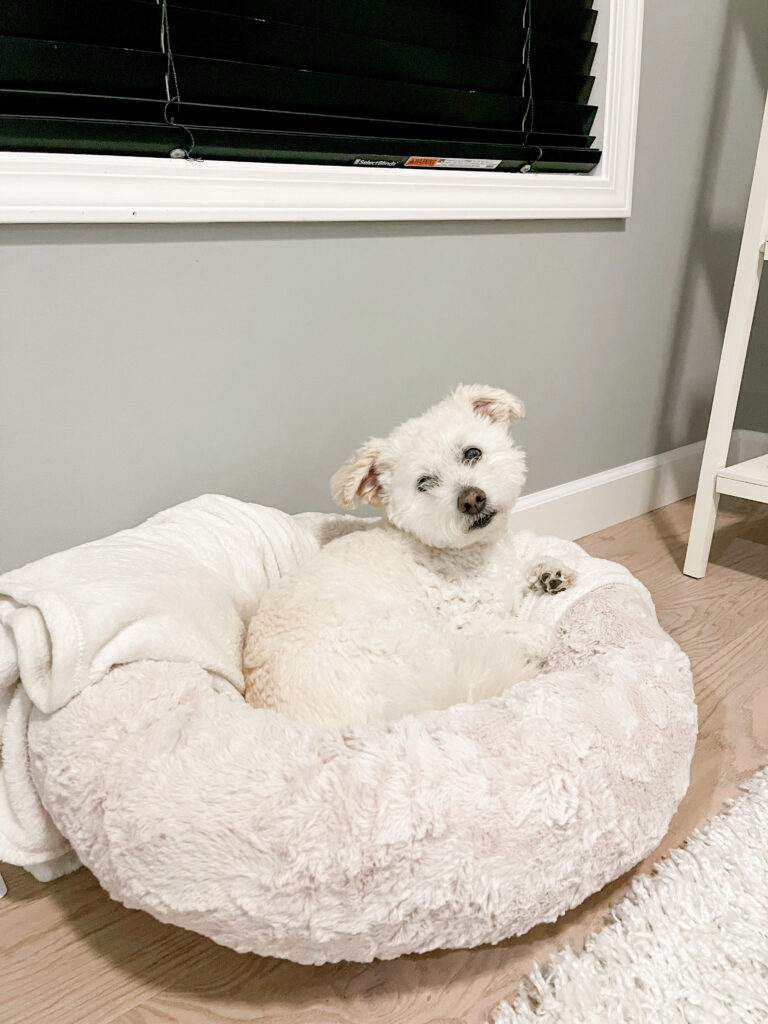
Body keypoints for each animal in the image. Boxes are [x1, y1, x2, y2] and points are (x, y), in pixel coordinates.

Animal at [243, 385, 573, 729]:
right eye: (424, 483)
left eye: (472, 453)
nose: (471, 500)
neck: (466, 552)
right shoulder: (464, 624)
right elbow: (514, 629)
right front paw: (537, 634)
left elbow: (522, 568)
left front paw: (550, 572)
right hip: (413, 639)